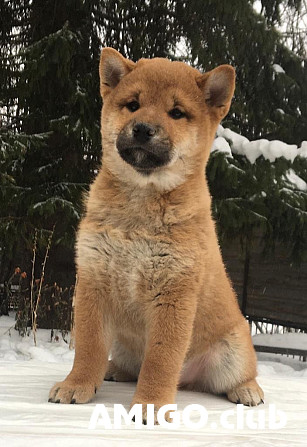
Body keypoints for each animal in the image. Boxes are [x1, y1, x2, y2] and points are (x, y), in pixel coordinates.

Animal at [48, 48, 264, 420]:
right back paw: (113, 371)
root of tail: (188, 380)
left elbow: (161, 359)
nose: (143, 129)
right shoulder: (93, 279)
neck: (140, 204)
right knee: (128, 364)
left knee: (239, 375)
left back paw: (248, 390)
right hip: (123, 342)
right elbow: (88, 346)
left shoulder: (173, 292)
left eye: (176, 112)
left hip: (233, 351)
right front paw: (77, 384)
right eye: (133, 104)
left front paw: (150, 404)